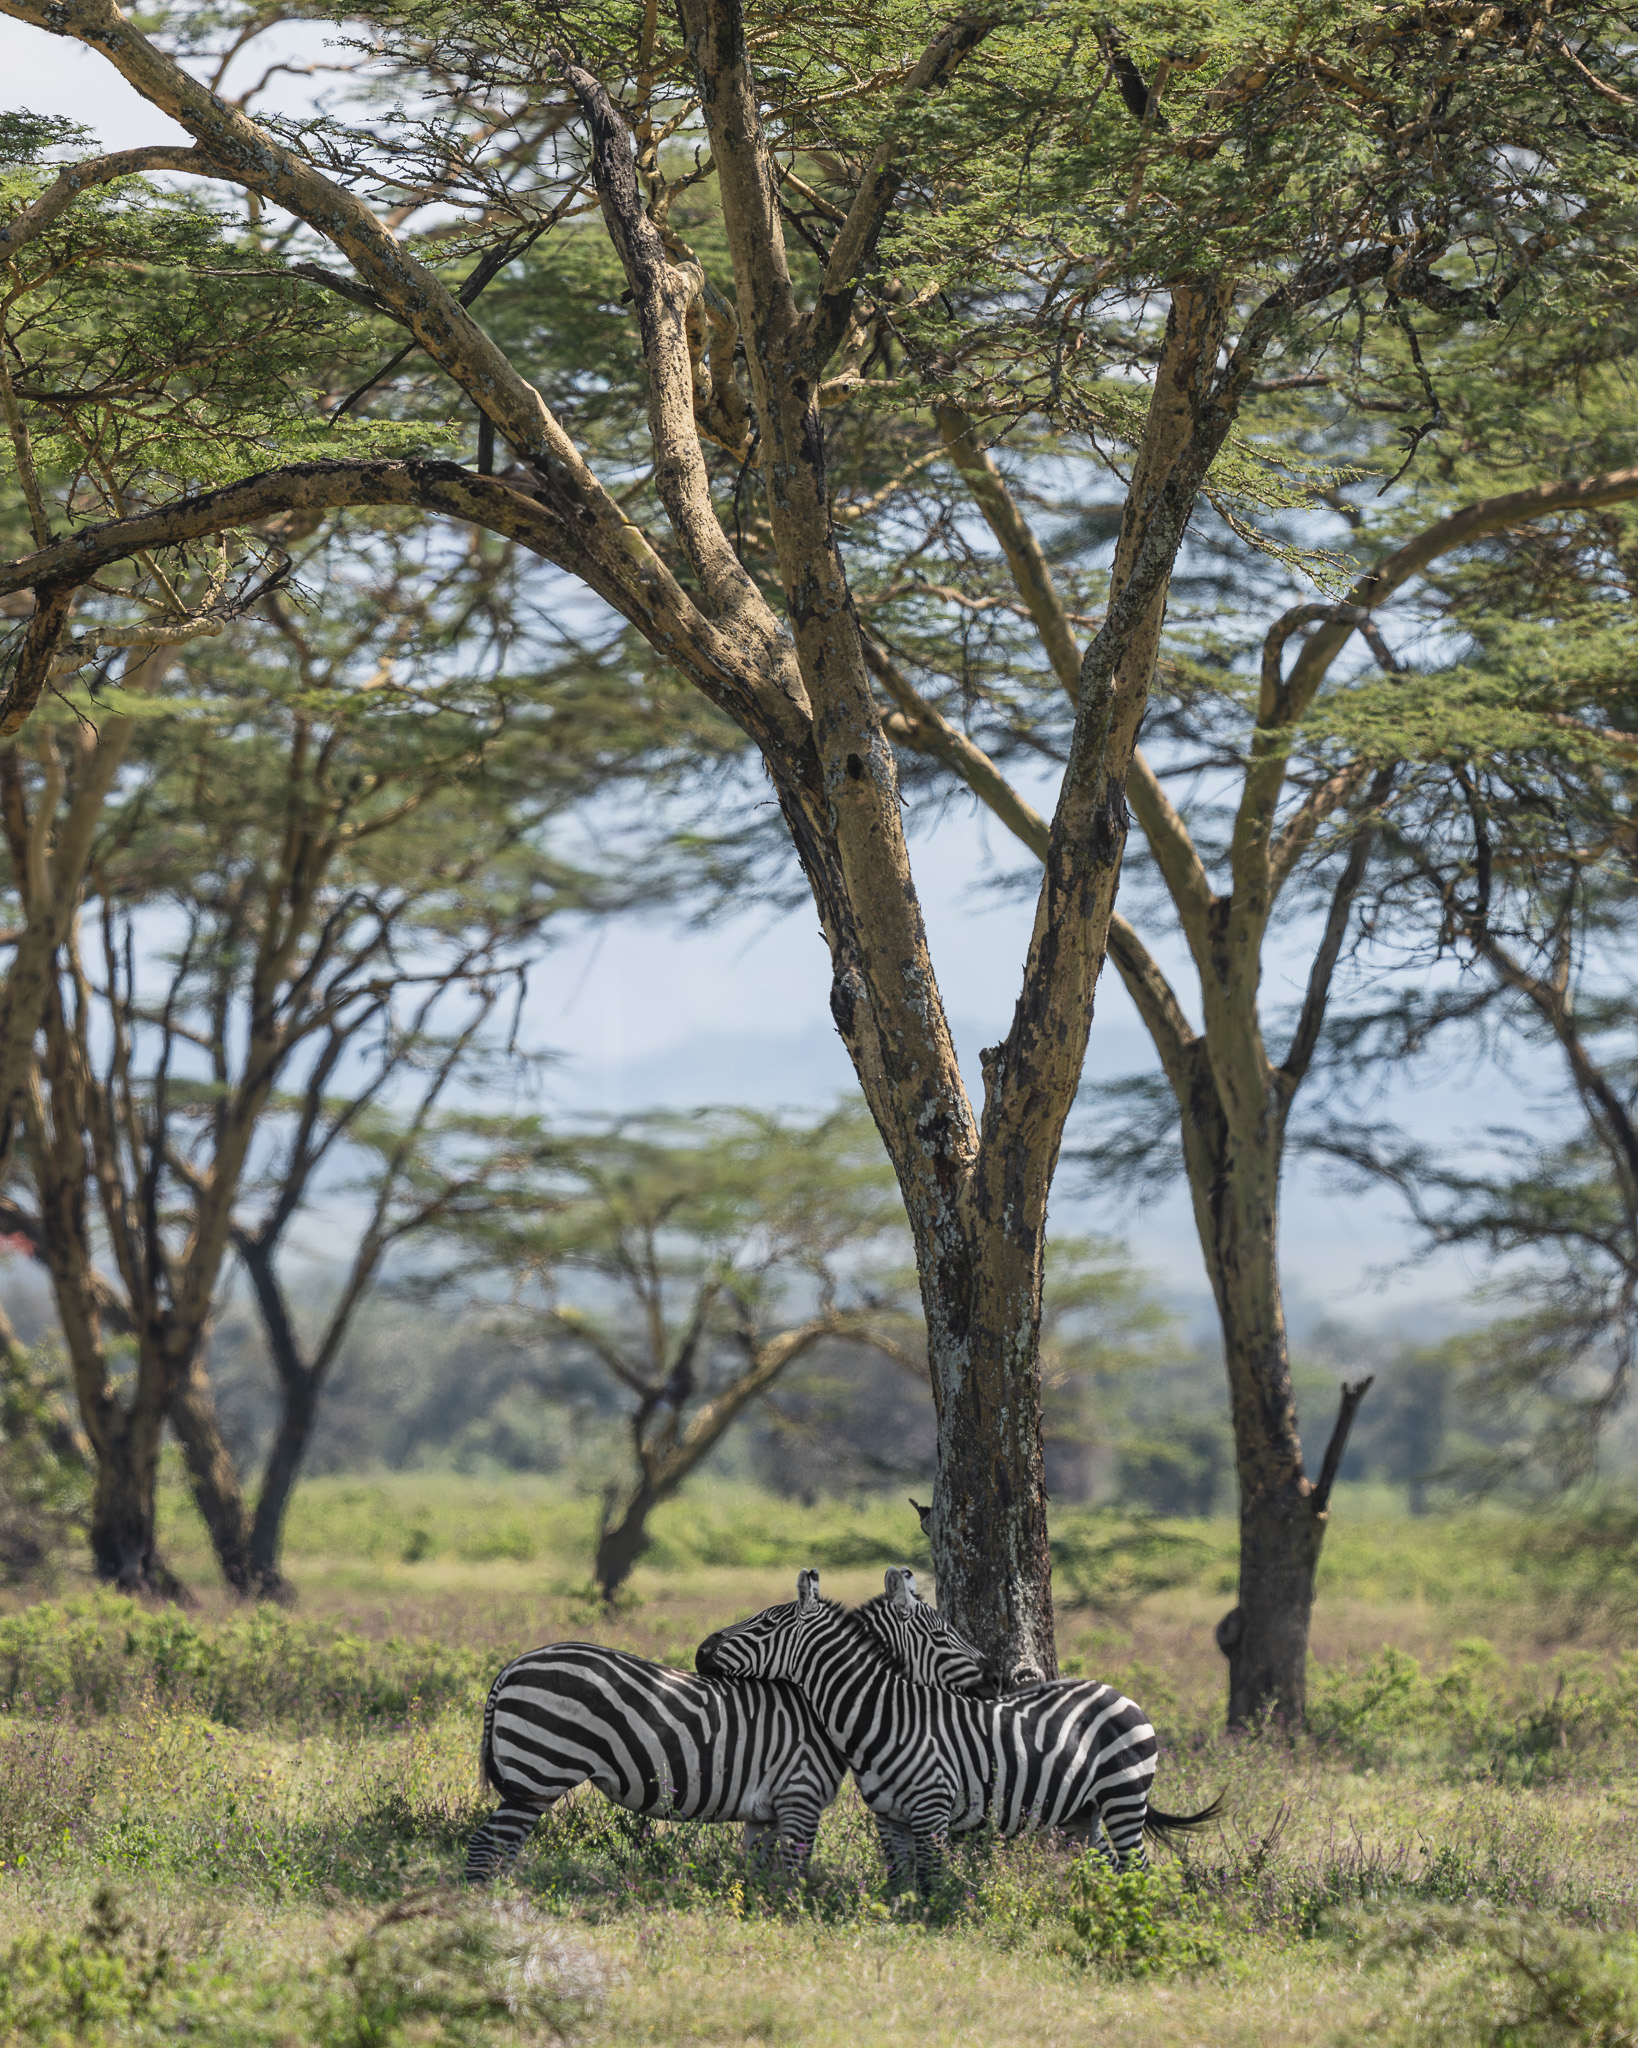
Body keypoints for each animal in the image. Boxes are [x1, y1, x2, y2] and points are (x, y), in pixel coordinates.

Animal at [696, 1569, 1221, 1895]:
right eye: (941, 1634)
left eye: (765, 1622)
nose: (701, 1652)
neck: (884, 1715)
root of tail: (1117, 1692)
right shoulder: (889, 1819)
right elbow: (899, 1884)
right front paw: (898, 1925)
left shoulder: (932, 1812)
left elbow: (933, 1883)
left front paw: (935, 1930)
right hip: (1082, 1811)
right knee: (1109, 1866)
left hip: (1123, 1795)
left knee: (1138, 1866)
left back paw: (1140, 1918)